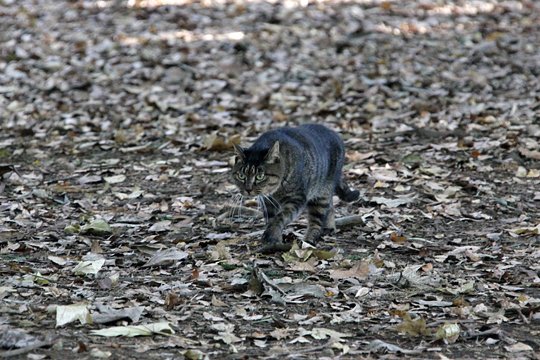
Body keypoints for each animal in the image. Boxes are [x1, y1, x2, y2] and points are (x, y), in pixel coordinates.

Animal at [231, 124, 360, 253]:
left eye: (259, 176)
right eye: (241, 175)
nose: (248, 189)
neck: (276, 191)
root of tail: (334, 133)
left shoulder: (296, 198)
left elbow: (280, 217)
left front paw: (272, 235)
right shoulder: (268, 202)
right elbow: (271, 219)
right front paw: (275, 239)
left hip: (321, 193)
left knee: (317, 220)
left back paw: (310, 239)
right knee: (331, 206)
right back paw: (330, 227)